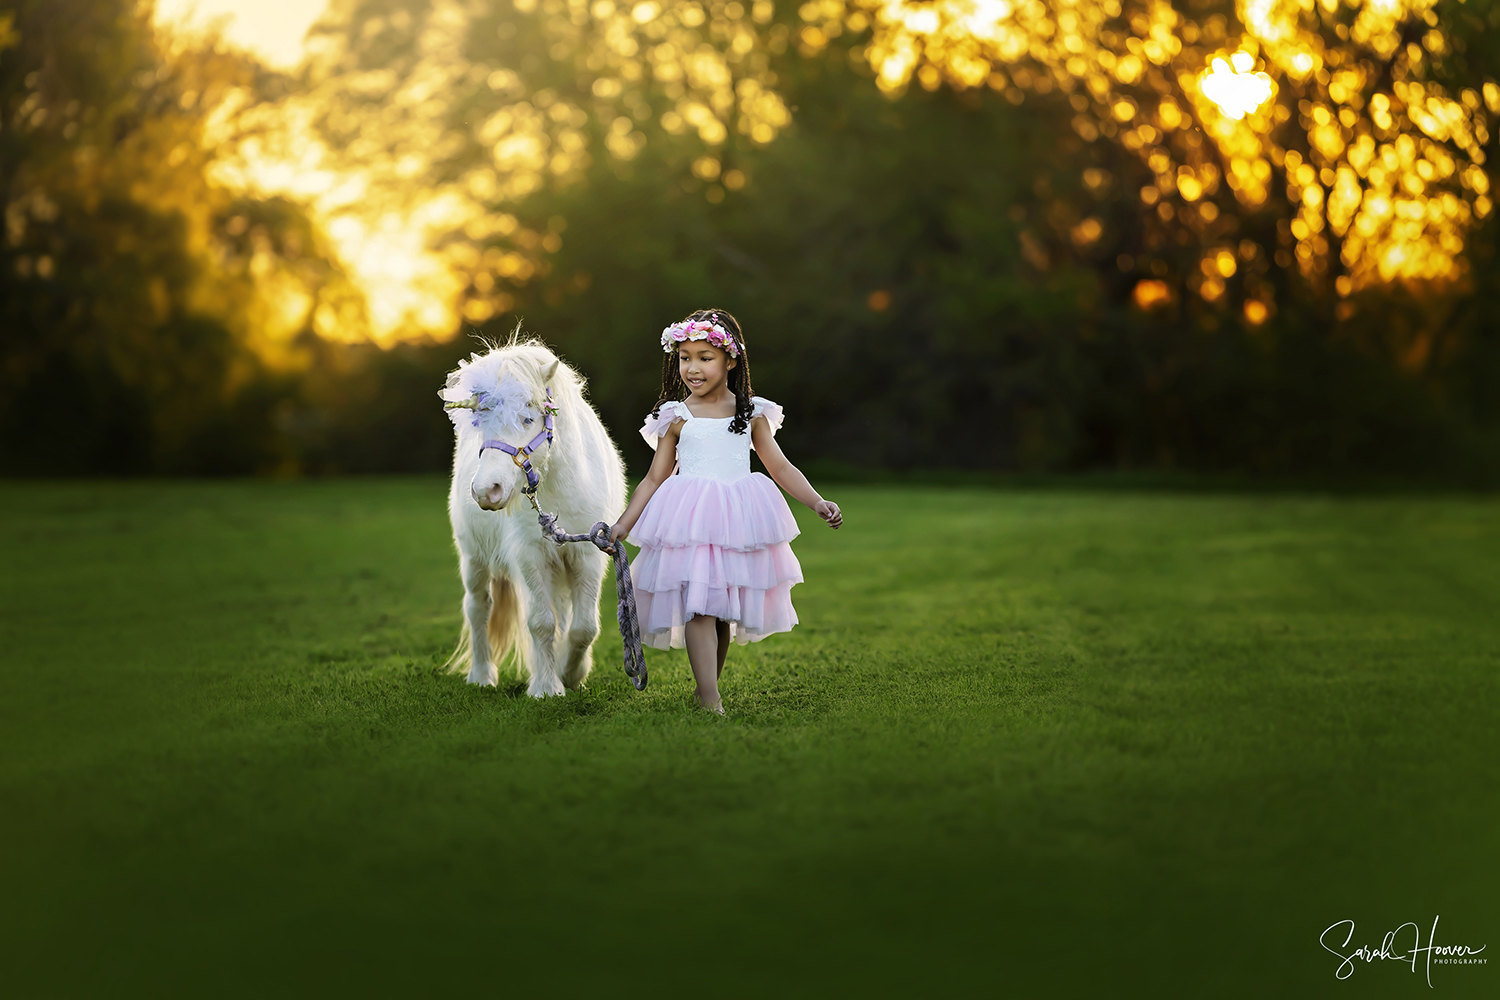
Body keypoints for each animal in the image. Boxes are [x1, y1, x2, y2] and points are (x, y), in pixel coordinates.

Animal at [438, 335, 627, 695]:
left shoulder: (587, 553)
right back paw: (482, 676)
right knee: (478, 608)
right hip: (474, 558)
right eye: (481, 421)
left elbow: (583, 627)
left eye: (527, 418)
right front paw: (547, 686)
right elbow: (541, 622)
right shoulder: (530, 555)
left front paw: (571, 674)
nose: (486, 490)